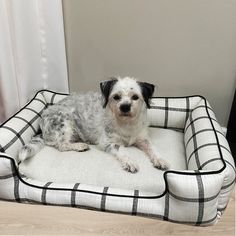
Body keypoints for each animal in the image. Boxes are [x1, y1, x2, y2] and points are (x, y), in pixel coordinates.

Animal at [18, 76, 170, 172]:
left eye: (135, 97)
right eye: (116, 97)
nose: (125, 107)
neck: (126, 123)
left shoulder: (142, 138)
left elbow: (152, 148)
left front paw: (160, 159)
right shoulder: (108, 142)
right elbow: (122, 150)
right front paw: (130, 162)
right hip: (64, 121)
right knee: (61, 145)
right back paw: (80, 146)